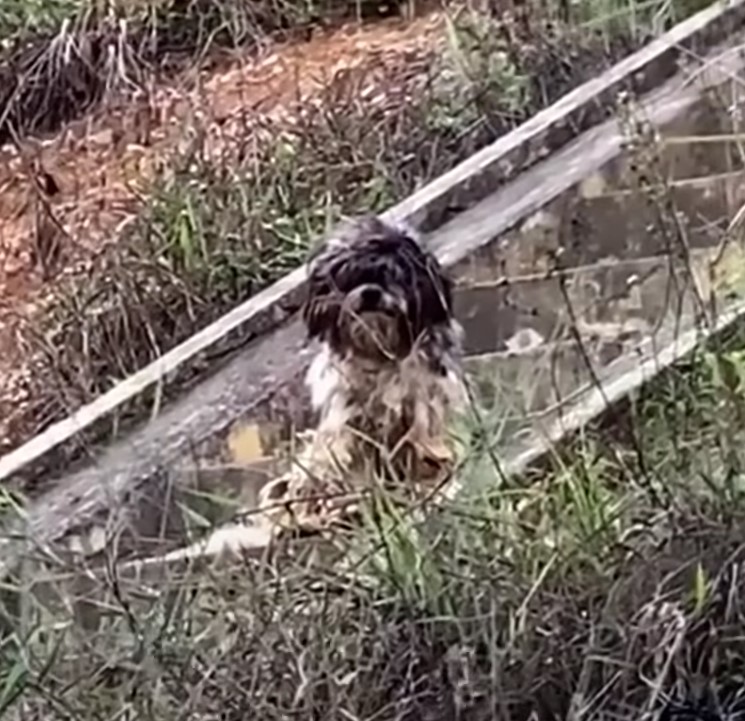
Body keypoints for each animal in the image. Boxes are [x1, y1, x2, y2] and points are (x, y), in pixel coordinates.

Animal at [256, 214, 464, 536]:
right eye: (350, 278)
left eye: (393, 275)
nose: (370, 291)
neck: (380, 358)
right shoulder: (346, 426)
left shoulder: (427, 413)